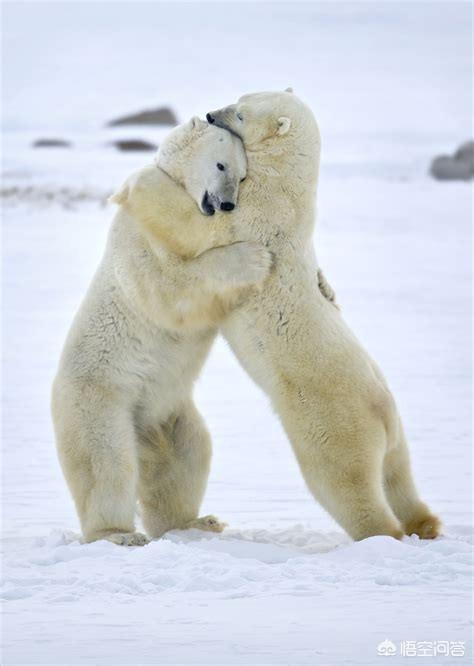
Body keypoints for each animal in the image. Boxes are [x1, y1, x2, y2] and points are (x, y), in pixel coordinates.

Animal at [51, 119, 274, 544]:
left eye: (242, 175)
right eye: (220, 165)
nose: (227, 205)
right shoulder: (138, 240)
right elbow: (170, 286)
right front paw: (253, 258)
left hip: (169, 411)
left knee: (188, 454)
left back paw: (195, 521)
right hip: (100, 397)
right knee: (106, 463)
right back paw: (117, 533)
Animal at [207, 89, 440, 540]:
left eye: (240, 113)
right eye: (238, 97)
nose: (210, 114)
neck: (285, 185)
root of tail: (383, 414)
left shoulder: (258, 214)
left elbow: (218, 227)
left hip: (332, 425)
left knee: (345, 486)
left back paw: (383, 534)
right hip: (397, 433)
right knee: (399, 477)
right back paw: (426, 523)